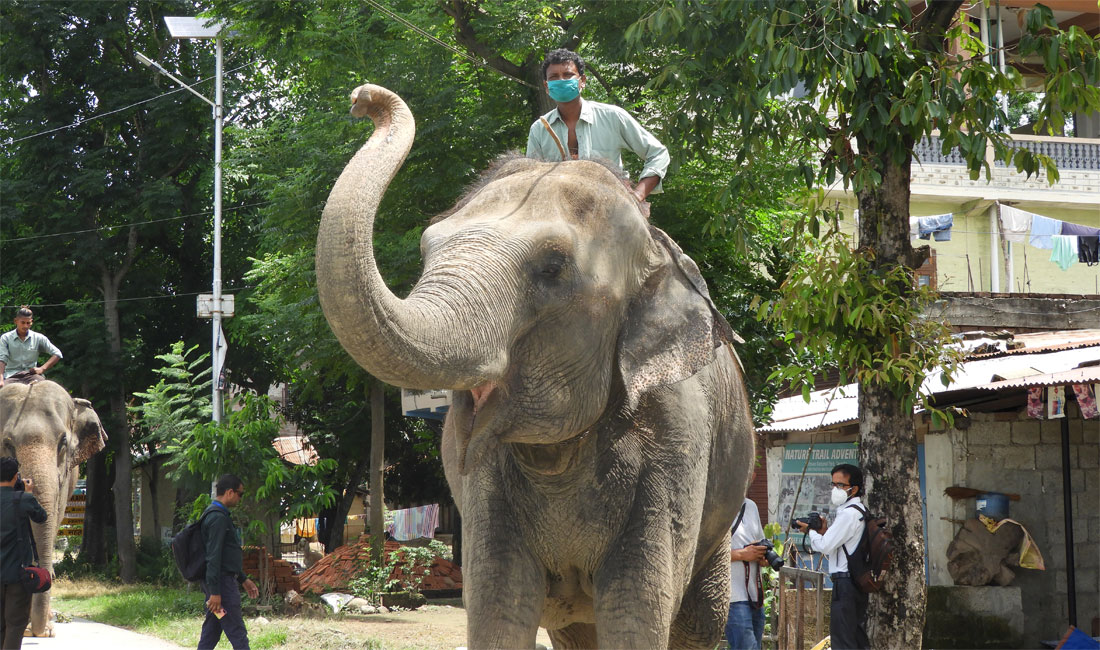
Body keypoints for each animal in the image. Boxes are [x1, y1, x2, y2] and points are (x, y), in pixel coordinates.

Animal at [314, 84, 752, 646]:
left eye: (552, 268)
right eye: (427, 248)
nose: (364, 98)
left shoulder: (678, 436)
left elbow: (635, 609)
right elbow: (501, 600)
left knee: (700, 619)